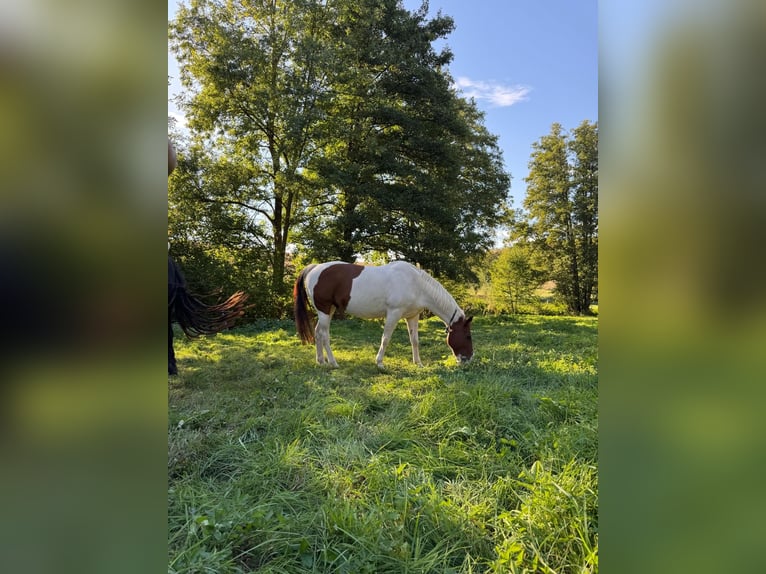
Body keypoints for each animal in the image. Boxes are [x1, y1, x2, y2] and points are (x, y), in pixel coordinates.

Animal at [293, 260, 473, 369]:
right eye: (468, 336)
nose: (469, 358)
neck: (416, 283)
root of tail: (313, 268)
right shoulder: (394, 313)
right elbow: (385, 339)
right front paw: (379, 363)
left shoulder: (412, 316)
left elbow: (414, 340)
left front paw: (418, 363)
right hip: (324, 310)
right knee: (324, 335)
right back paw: (333, 362)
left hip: (328, 311)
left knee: (317, 332)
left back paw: (321, 361)